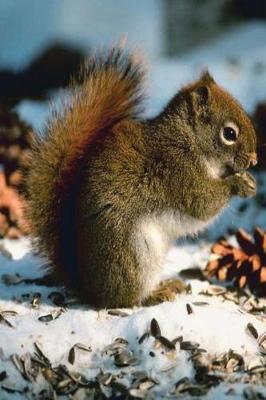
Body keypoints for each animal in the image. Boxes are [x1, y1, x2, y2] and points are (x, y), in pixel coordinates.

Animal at [26, 48, 256, 308]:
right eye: (229, 133)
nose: (254, 160)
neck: (188, 140)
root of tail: (88, 289)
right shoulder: (179, 172)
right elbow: (202, 204)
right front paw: (239, 183)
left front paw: (248, 179)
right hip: (133, 254)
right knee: (127, 299)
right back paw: (157, 293)